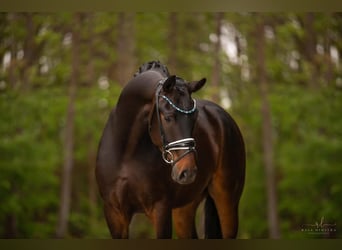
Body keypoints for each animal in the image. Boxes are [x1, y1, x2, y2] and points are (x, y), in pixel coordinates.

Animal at [95, 60, 246, 238]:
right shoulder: (115, 214)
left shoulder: (161, 209)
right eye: (168, 117)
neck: (127, 153)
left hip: (226, 200)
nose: (188, 172)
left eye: (195, 118)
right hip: (184, 208)